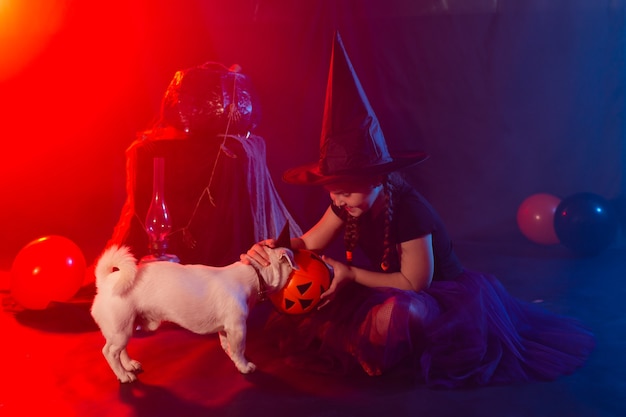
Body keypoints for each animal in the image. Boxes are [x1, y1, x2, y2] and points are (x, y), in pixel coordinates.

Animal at [91, 244, 298, 384]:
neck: (255, 273)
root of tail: (105, 282)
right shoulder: (238, 328)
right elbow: (239, 348)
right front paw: (244, 365)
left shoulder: (227, 328)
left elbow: (227, 345)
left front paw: (232, 357)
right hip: (120, 330)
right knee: (109, 352)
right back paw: (123, 375)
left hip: (125, 328)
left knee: (121, 350)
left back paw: (128, 365)